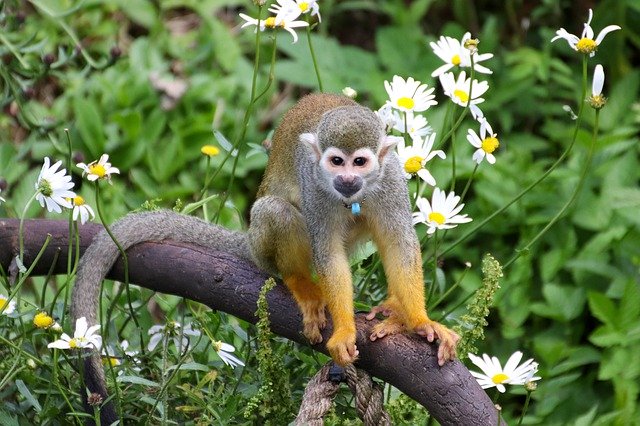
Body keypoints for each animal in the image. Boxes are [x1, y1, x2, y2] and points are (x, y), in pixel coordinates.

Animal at [72, 93, 458, 422]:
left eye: (359, 162)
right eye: (336, 161)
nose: (347, 179)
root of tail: (250, 241)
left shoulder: (390, 177)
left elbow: (399, 243)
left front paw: (420, 322)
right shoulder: (314, 182)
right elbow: (328, 254)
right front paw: (346, 329)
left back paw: (395, 310)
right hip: (262, 240)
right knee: (277, 212)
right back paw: (301, 284)